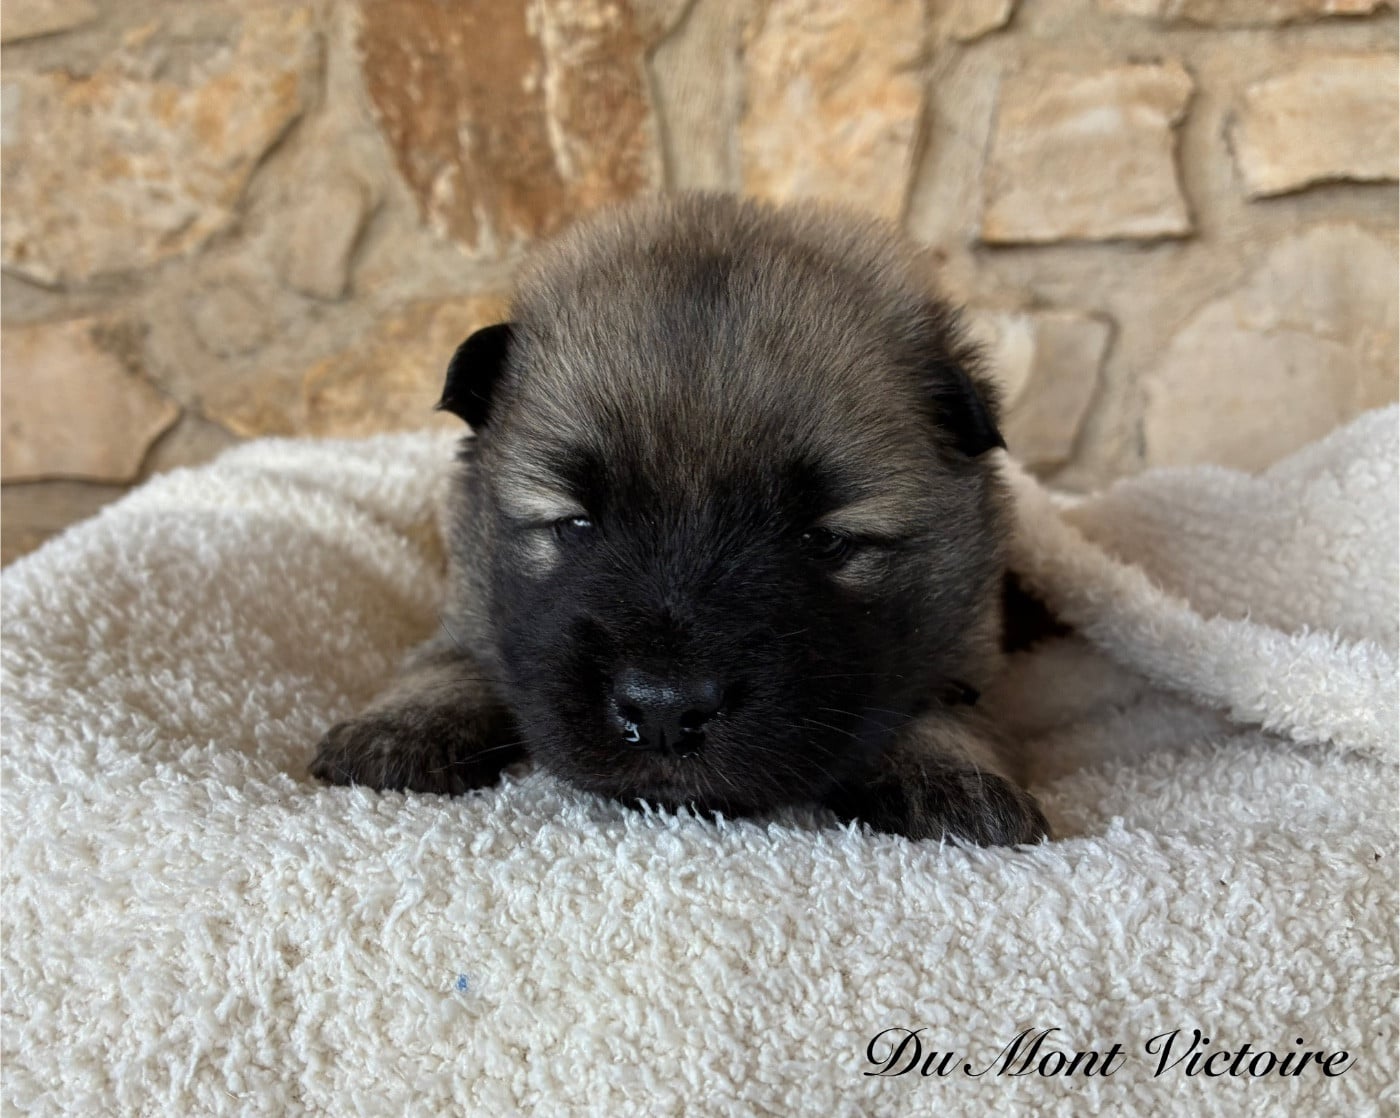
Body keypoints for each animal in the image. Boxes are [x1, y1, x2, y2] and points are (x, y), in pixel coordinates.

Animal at [311, 193, 1050, 847]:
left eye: (823, 540)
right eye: (576, 525)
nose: (663, 710)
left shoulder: (973, 651)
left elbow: (944, 699)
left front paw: (949, 770)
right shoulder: (469, 605)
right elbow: (454, 655)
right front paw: (404, 722)